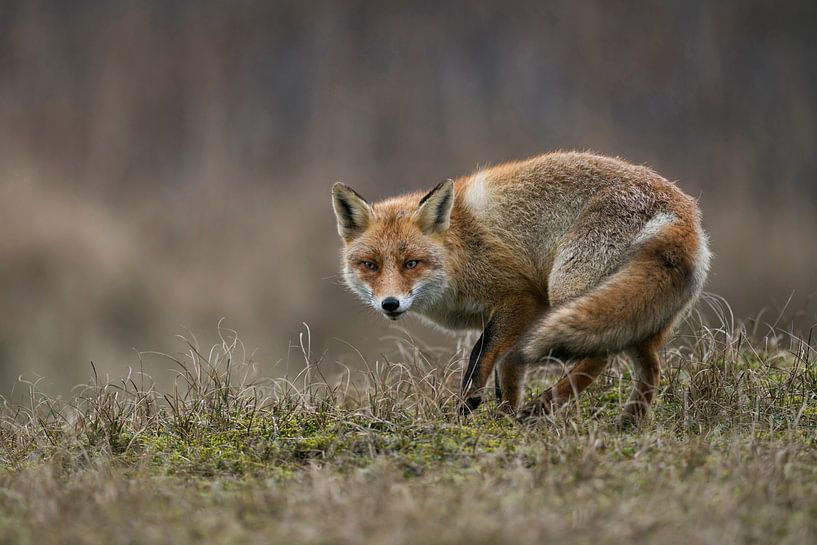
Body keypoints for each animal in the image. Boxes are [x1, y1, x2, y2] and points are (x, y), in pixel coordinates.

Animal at [332, 151, 708, 422]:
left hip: (569, 291)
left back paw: (543, 407)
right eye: (370, 265)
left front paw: (466, 412)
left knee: (599, 357)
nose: (390, 304)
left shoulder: (521, 298)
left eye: (412, 263)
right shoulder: (516, 315)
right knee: (650, 366)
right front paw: (503, 418)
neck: (460, 249)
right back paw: (628, 423)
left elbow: (480, 359)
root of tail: (683, 212)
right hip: (641, 313)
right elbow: (507, 371)